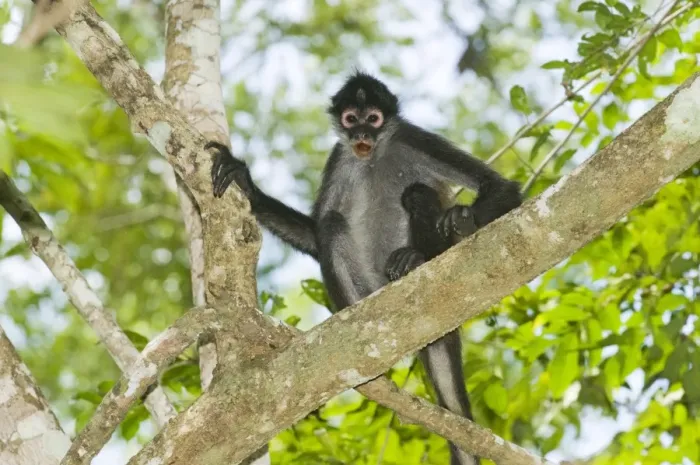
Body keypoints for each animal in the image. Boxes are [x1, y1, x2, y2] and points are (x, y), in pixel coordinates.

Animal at [208, 71, 522, 465]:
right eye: (350, 119)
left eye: (373, 119)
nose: (361, 135)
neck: (372, 156)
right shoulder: (340, 156)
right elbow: (317, 234)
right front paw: (247, 185)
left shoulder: (412, 136)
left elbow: (503, 189)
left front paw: (461, 220)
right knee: (331, 225)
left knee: (417, 194)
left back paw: (425, 255)